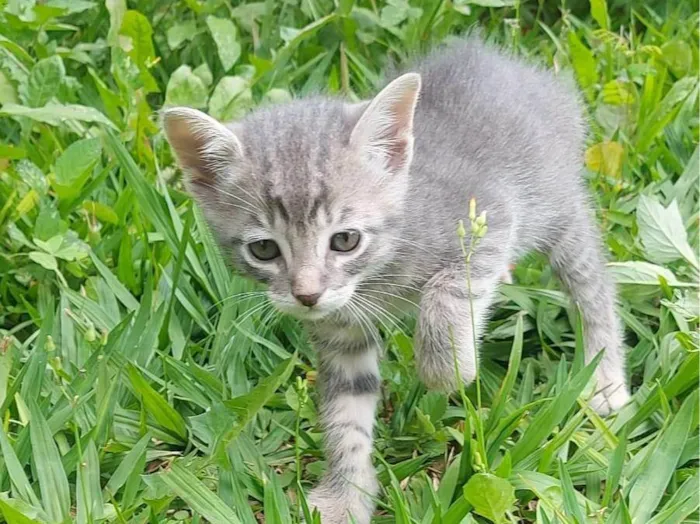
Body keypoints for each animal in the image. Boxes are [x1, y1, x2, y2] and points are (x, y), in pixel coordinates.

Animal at [163, 36, 628, 524]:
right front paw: (347, 495)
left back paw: (605, 378)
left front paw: (448, 368)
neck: (377, 274)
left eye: (345, 240)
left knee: (593, 285)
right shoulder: (341, 330)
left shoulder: (491, 217)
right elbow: (346, 411)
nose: (307, 295)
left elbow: (448, 290)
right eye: (264, 250)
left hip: (555, 209)